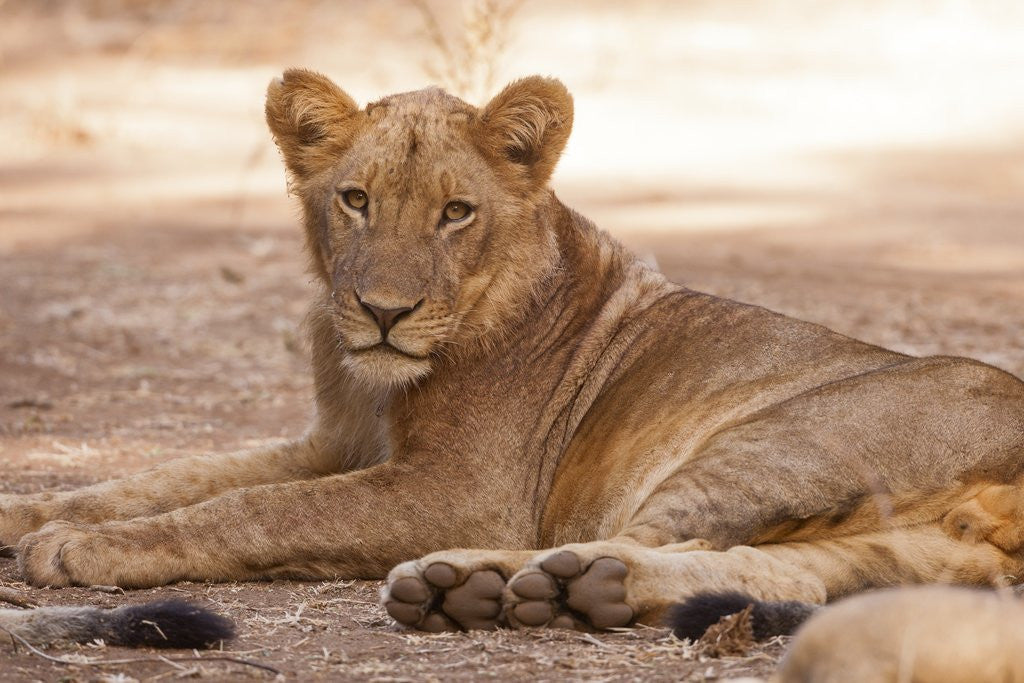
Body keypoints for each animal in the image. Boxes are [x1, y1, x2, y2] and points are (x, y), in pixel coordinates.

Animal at [1, 71, 1023, 643]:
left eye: (456, 211)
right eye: (356, 199)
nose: (383, 313)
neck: (378, 381)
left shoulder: (460, 486)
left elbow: (254, 510)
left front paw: (82, 547)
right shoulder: (334, 442)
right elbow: (168, 475)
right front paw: (33, 512)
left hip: (775, 444)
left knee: (655, 536)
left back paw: (479, 582)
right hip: (906, 551)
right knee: (778, 572)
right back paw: (535, 594)